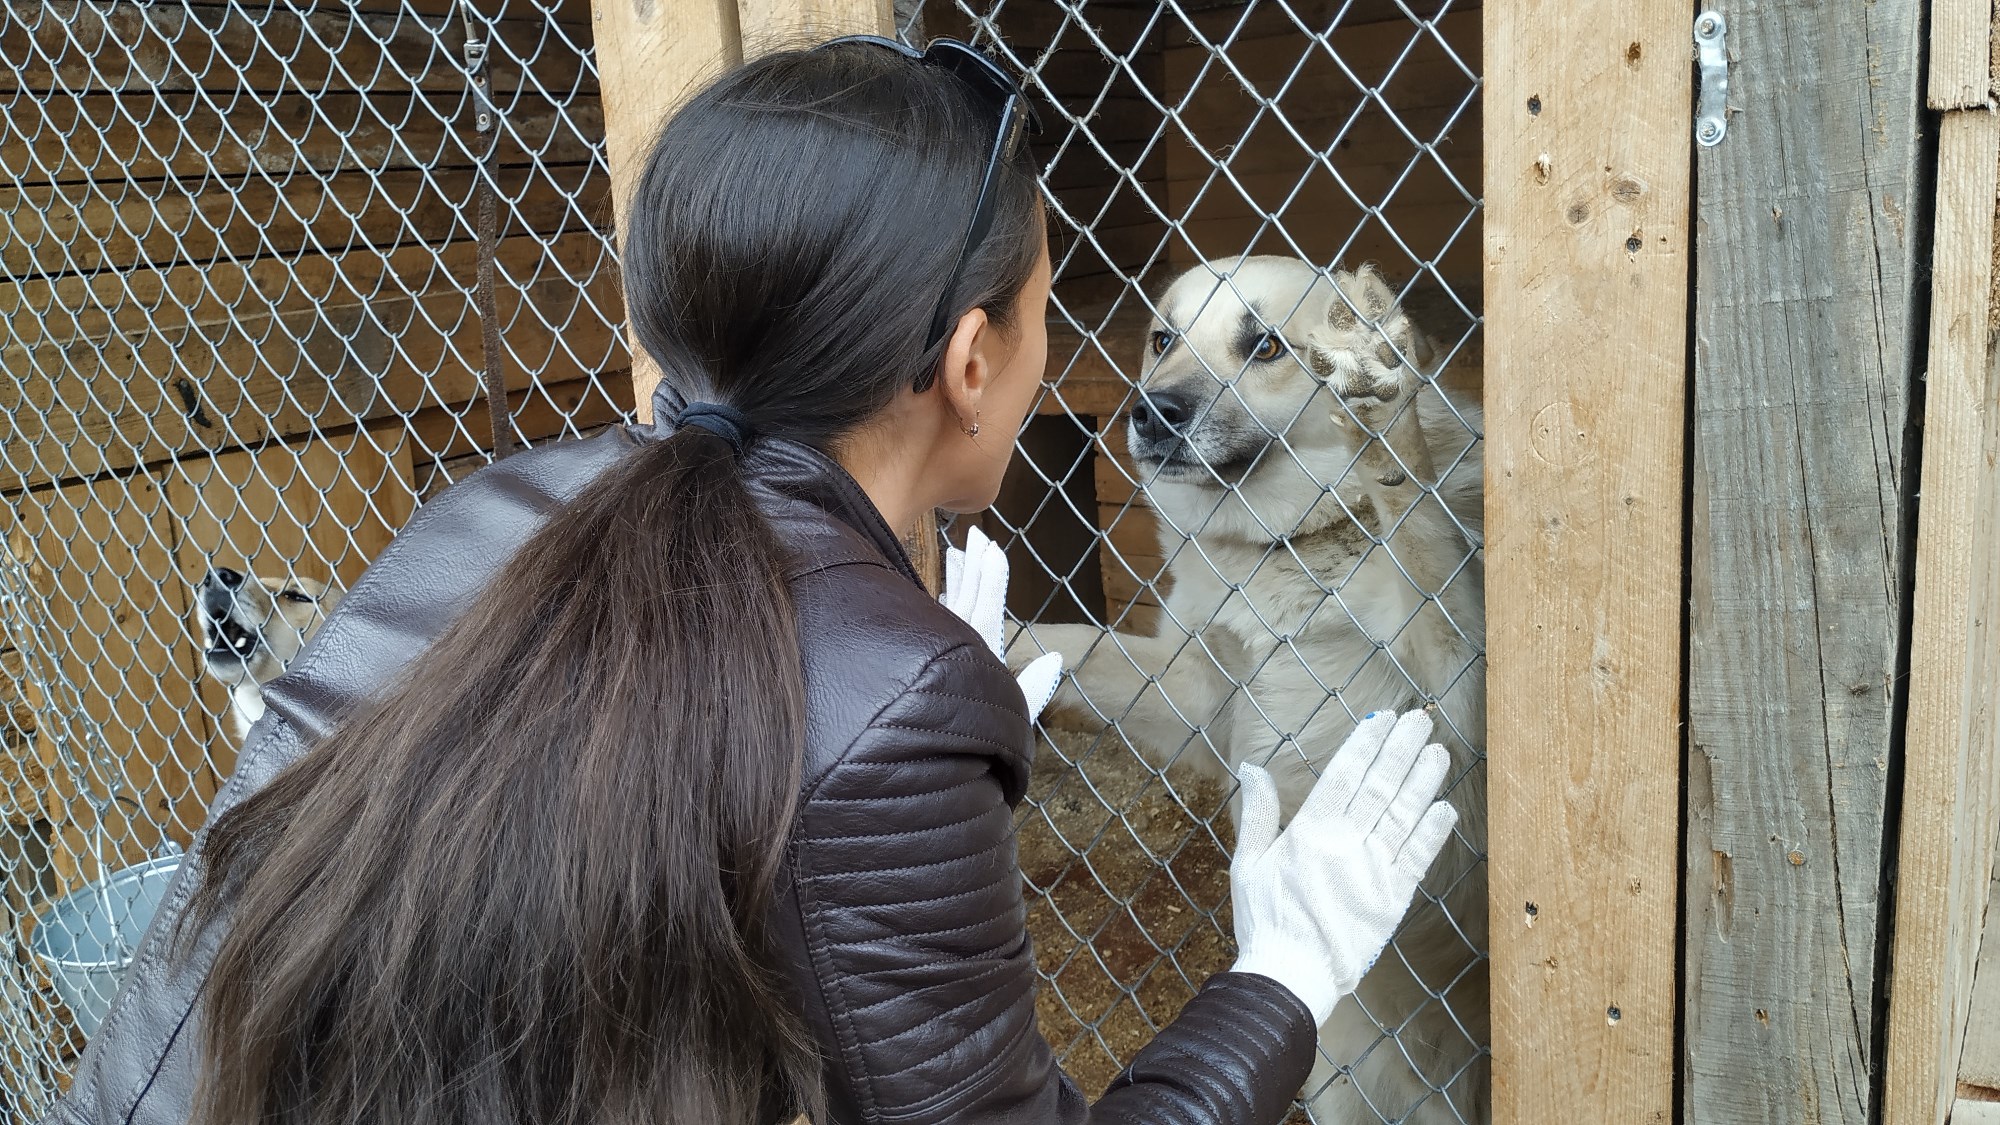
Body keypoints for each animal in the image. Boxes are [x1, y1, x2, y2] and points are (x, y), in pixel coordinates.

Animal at [1016, 254, 1488, 1120]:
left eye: (1265, 344)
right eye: (1163, 338)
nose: (1150, 413)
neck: (1289, 548)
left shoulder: (1459, 693)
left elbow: (1424, 538)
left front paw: (1387, 423)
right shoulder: (1199, 693)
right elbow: (1074, 641)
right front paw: (991, 633)